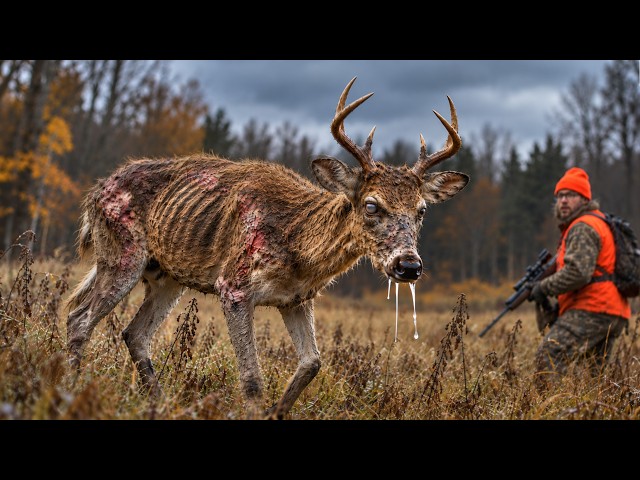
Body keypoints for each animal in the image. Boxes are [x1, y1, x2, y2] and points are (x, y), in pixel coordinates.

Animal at [65, 77, 469, 419]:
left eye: (421, 210)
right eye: (371, 205)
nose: (408, 266)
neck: (300, 250)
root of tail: (96, 190)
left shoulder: (297, 299)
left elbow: (312, 364)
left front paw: (277, 411)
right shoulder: (233, 286)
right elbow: (252, 379)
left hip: (166, 278)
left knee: (133, 334)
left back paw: (159, 403)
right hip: (122, 253)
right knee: (80, 318)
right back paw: (71, 389)